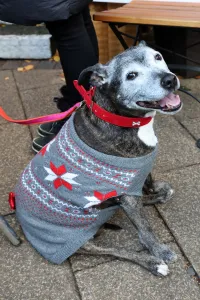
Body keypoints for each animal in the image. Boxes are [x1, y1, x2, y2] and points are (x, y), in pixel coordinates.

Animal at [13, 41, 181, 276]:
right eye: (131, 75)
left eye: (158, 57)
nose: (169, 79)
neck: (120, 119)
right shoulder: (128, 195)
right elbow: (144, 227)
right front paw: (160, 251)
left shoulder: (137, 177)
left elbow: (147, 182)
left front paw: (155, 189)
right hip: (80, 241)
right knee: (115, 250)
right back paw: (152, 263)